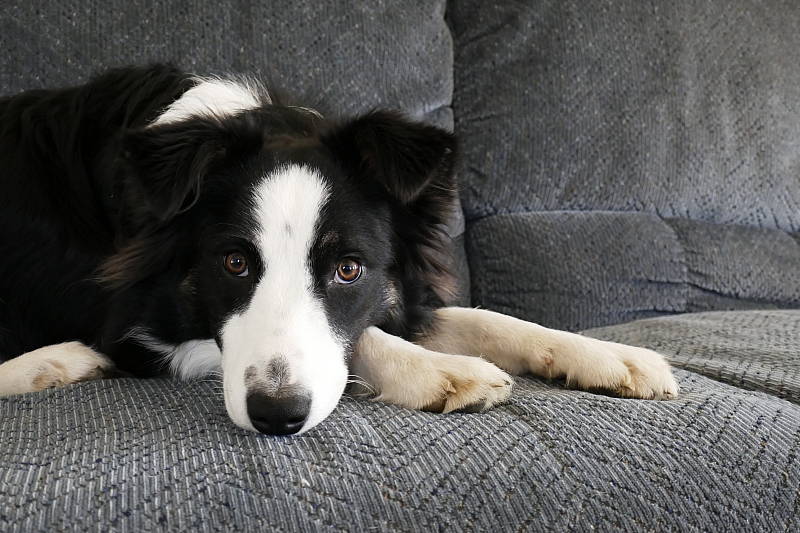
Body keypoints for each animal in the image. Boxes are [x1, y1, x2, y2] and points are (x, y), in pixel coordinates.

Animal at [0, 64, 678, 435]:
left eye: (349, 269)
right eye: (234, 263)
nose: (276, 417)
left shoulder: (398, 288)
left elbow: (488, 319)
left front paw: (610, 357)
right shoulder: (132, 321)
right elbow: (367, 339)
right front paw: (441, 371)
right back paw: (53, 362)